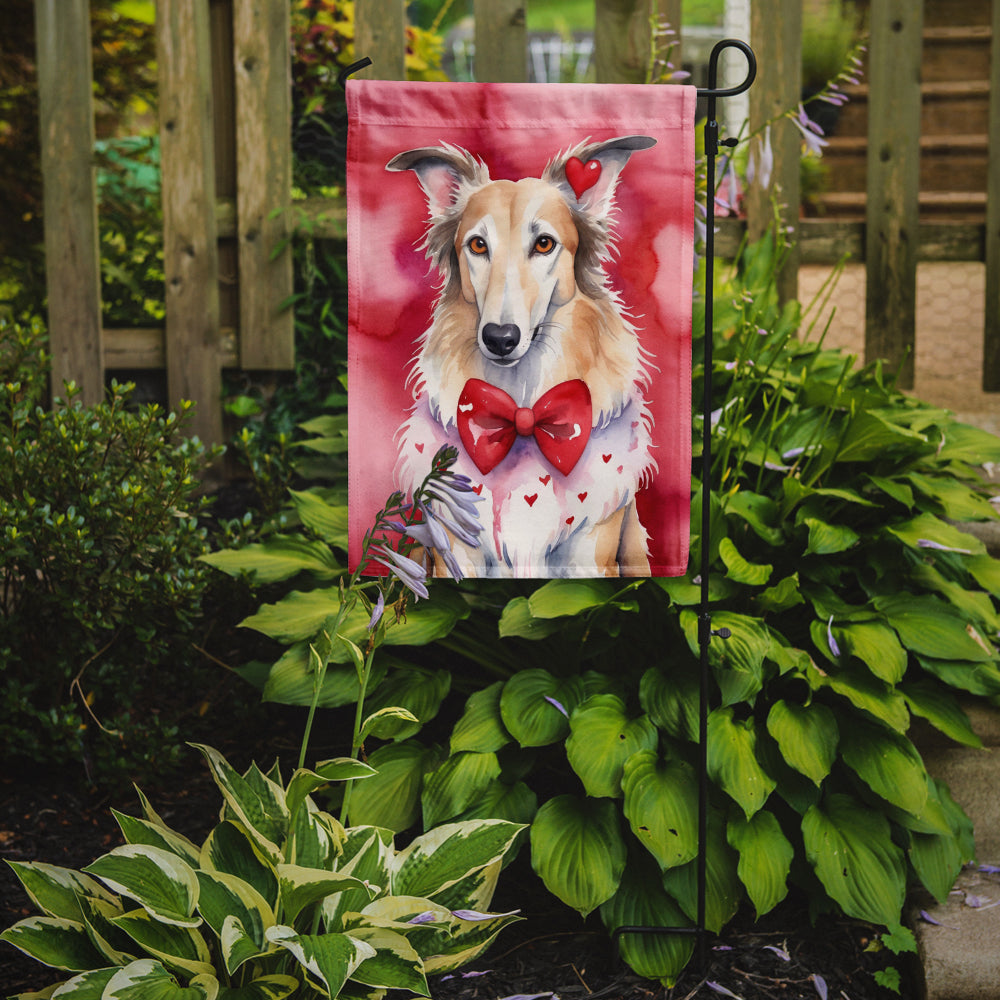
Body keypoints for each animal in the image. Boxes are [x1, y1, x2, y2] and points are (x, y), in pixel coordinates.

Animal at [388, 139, 656, 580]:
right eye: (477, 245)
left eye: (544, 243)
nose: (500, 339)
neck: (522, 404)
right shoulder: (456, 553)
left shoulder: (591, 553)